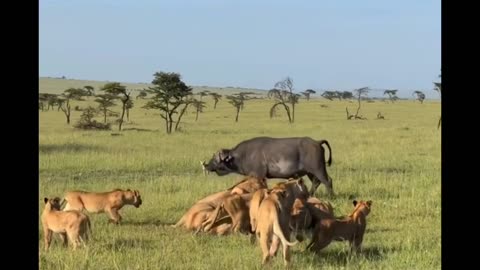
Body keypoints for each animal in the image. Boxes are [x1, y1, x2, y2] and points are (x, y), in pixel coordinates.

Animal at [203, 136, 334, 195]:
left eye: (215, 159)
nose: (207, 165)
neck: (243, 155)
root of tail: (317, 142)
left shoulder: (259, 175)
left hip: (318, 169)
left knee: (327, 181)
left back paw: (331, 196)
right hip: (310, 172)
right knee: (316, 182)